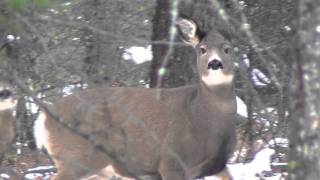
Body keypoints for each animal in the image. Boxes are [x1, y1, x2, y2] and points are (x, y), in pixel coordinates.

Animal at [34, 17, 238, 180]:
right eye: (202, 49)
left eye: (227, 49)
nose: (214, 63)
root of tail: (42, 118)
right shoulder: (171, 160)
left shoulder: (219, 164)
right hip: (75, 156)